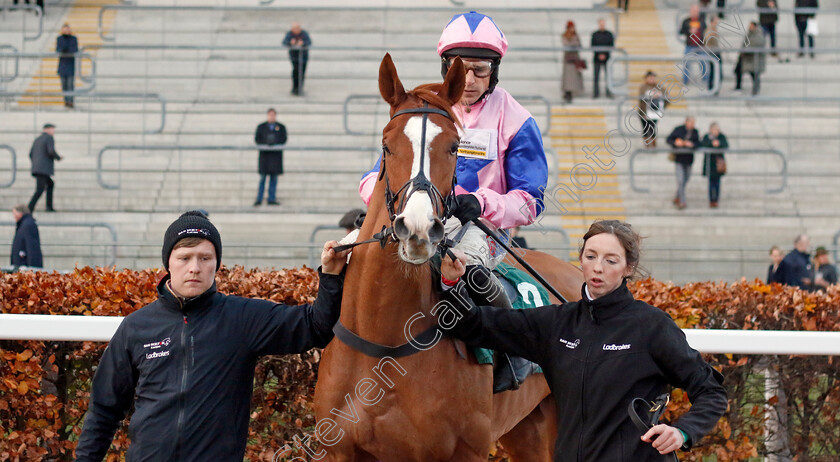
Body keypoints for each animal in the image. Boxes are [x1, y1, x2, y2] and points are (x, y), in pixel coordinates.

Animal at [312, 55, 580, 462]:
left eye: (454, 147)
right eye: (386, 145)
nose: (418, 228)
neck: (383, 343)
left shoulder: (464, 450)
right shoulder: (337, 450)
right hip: (527, 428)